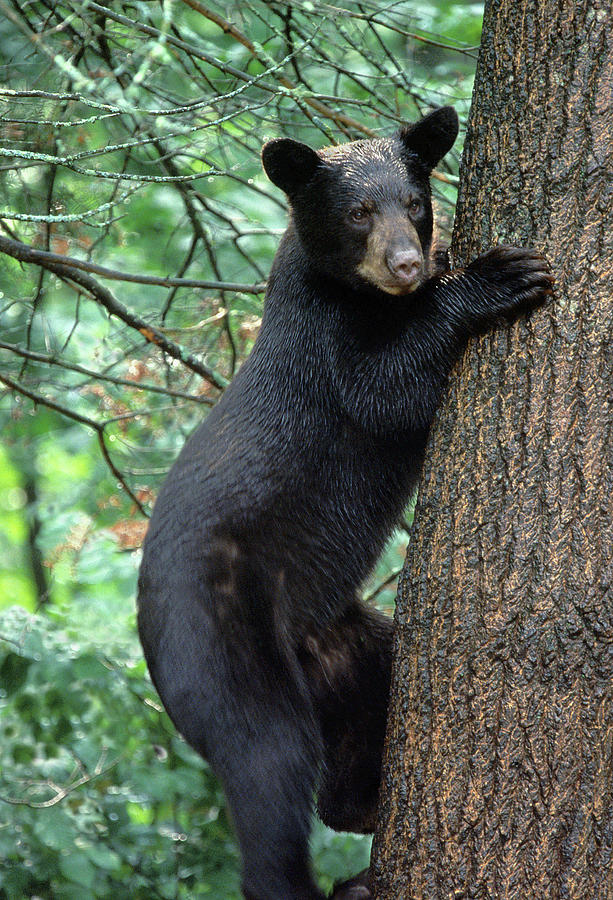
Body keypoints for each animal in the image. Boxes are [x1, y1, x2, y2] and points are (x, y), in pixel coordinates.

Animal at [136, 107, 552, 900]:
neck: (356, 293)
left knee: (363, 707)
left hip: (346, 642)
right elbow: (383, 390)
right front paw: (496, 277)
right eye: (358, 212)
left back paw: (360, 813)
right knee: (268, 766)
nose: (407, 264)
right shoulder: (325, 348)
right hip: (220, 643)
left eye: (413, 204)